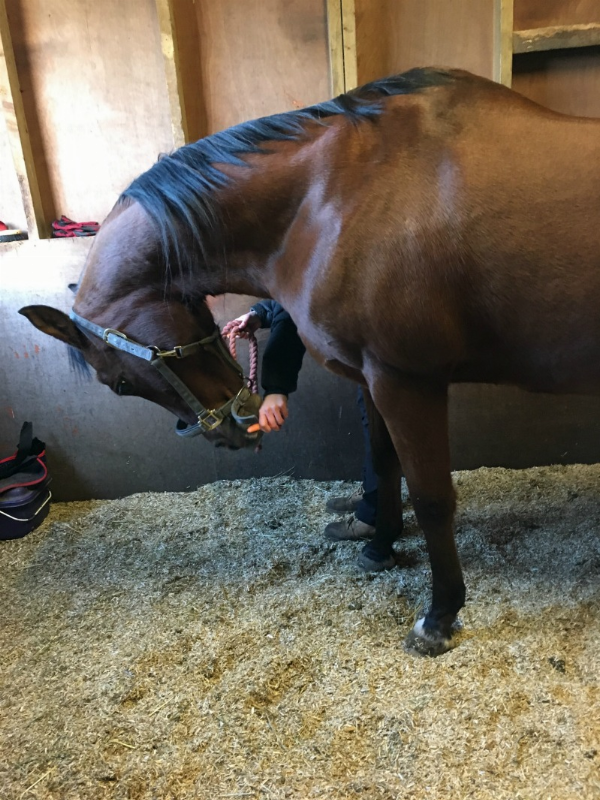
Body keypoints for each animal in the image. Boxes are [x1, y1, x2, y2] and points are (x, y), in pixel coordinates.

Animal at [18, 69, 600, 656]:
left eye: (116, 382)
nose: (231, 431)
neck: (331, 197)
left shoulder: (406, 382)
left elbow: (432, 497)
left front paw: (439, 616)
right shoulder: (372, 378)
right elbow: (382, 465)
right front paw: (379, 544)